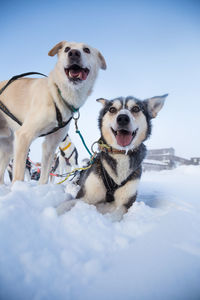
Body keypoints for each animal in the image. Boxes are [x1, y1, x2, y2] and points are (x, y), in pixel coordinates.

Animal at [0, 40, 106, 184]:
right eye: (67, 49)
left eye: (87, 50)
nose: (73, 53)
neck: (57, 94)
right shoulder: (24, 136)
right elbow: (18, 177)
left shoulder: (50, 145)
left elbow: (44, 177)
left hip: (8, 147)